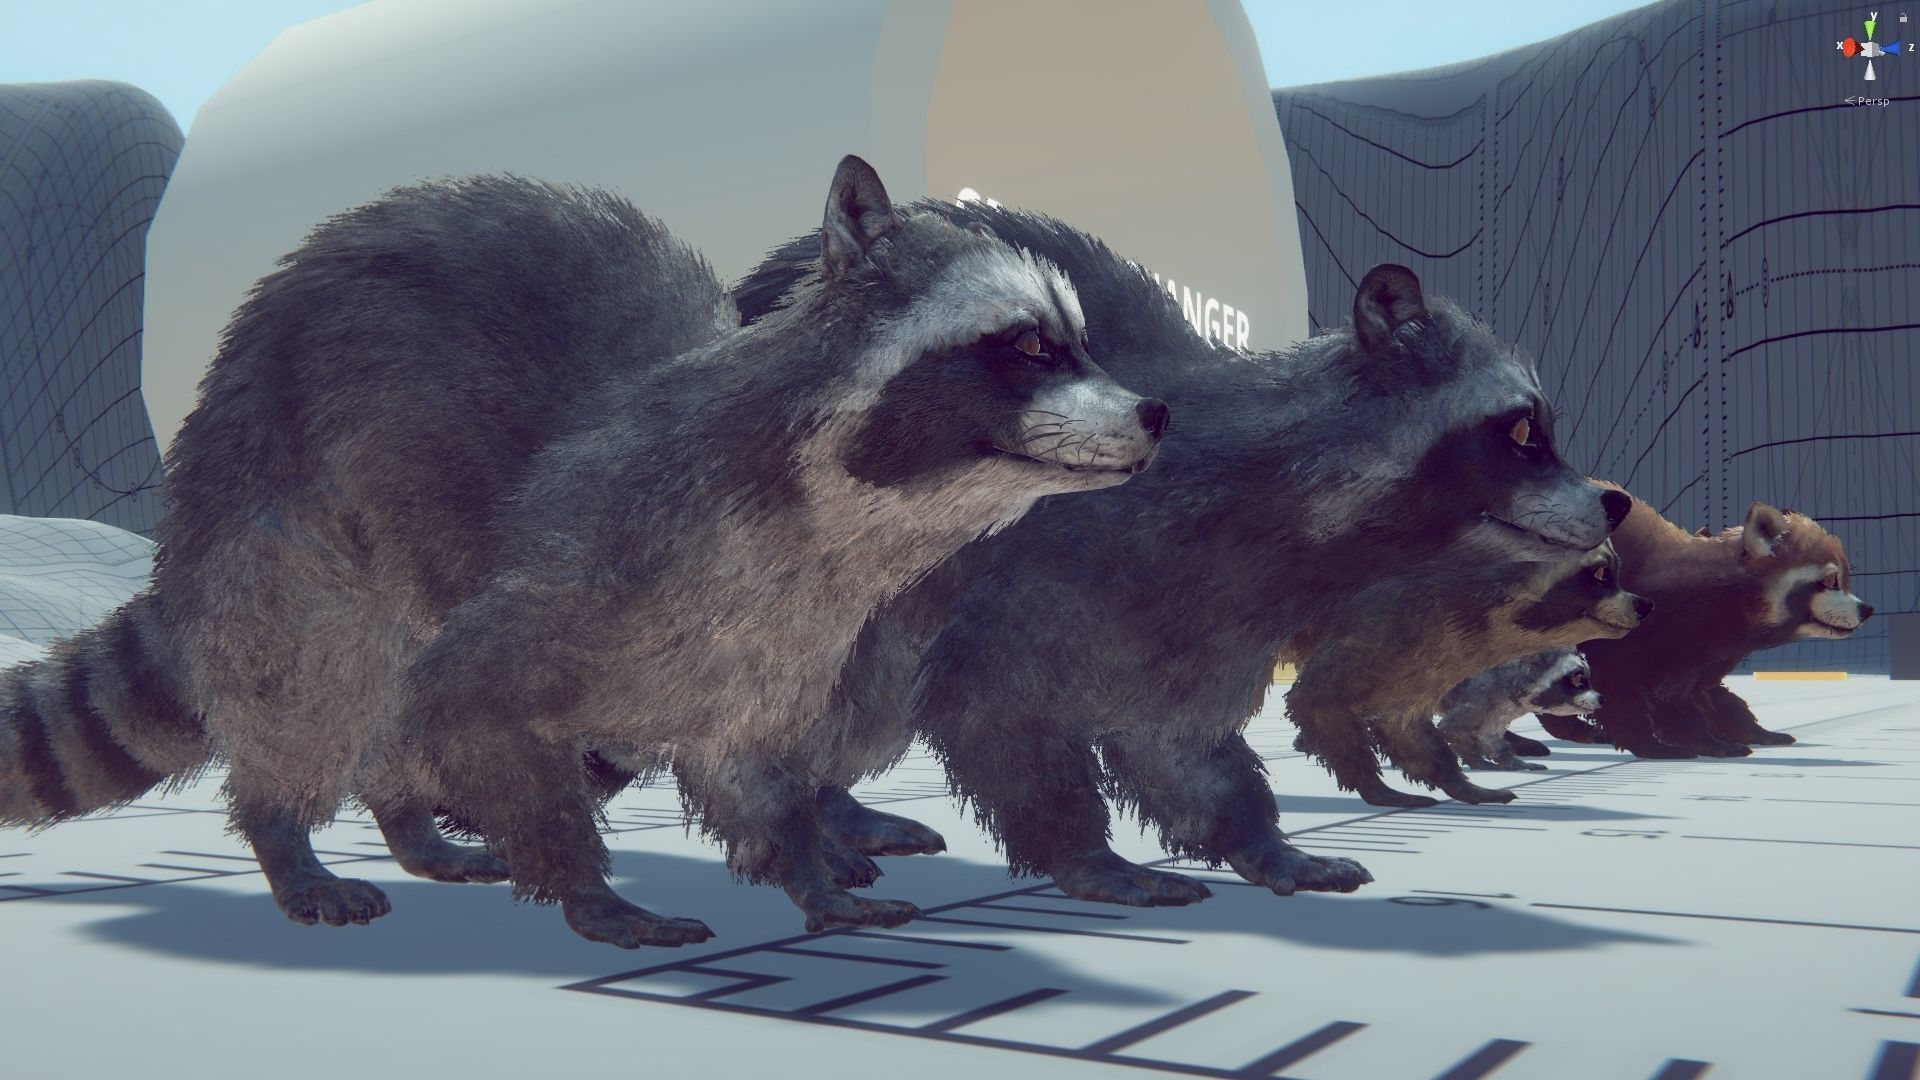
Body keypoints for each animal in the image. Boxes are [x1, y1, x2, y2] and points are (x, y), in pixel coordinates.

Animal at [0, 157, 1168, 948]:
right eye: (1029, 347)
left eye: (1081, 342)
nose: (1155, 413)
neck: (850, 535)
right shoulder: (591, 566)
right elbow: (477, 705)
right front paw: (588, 886)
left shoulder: (780, 642)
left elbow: (747, 769)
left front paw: (805, 866)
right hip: (292, 530)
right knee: (325, 680)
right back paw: (291, 838)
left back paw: (408, 824)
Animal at [1435, 648, 1601, 772]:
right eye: (1578, 679)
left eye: (1589, 678)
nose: (1602, 698)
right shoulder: (1480, 694)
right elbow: (1451, 728)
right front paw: (1478, 762)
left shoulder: (1497, 709)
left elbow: (1489, 738)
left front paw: (1512, 761)